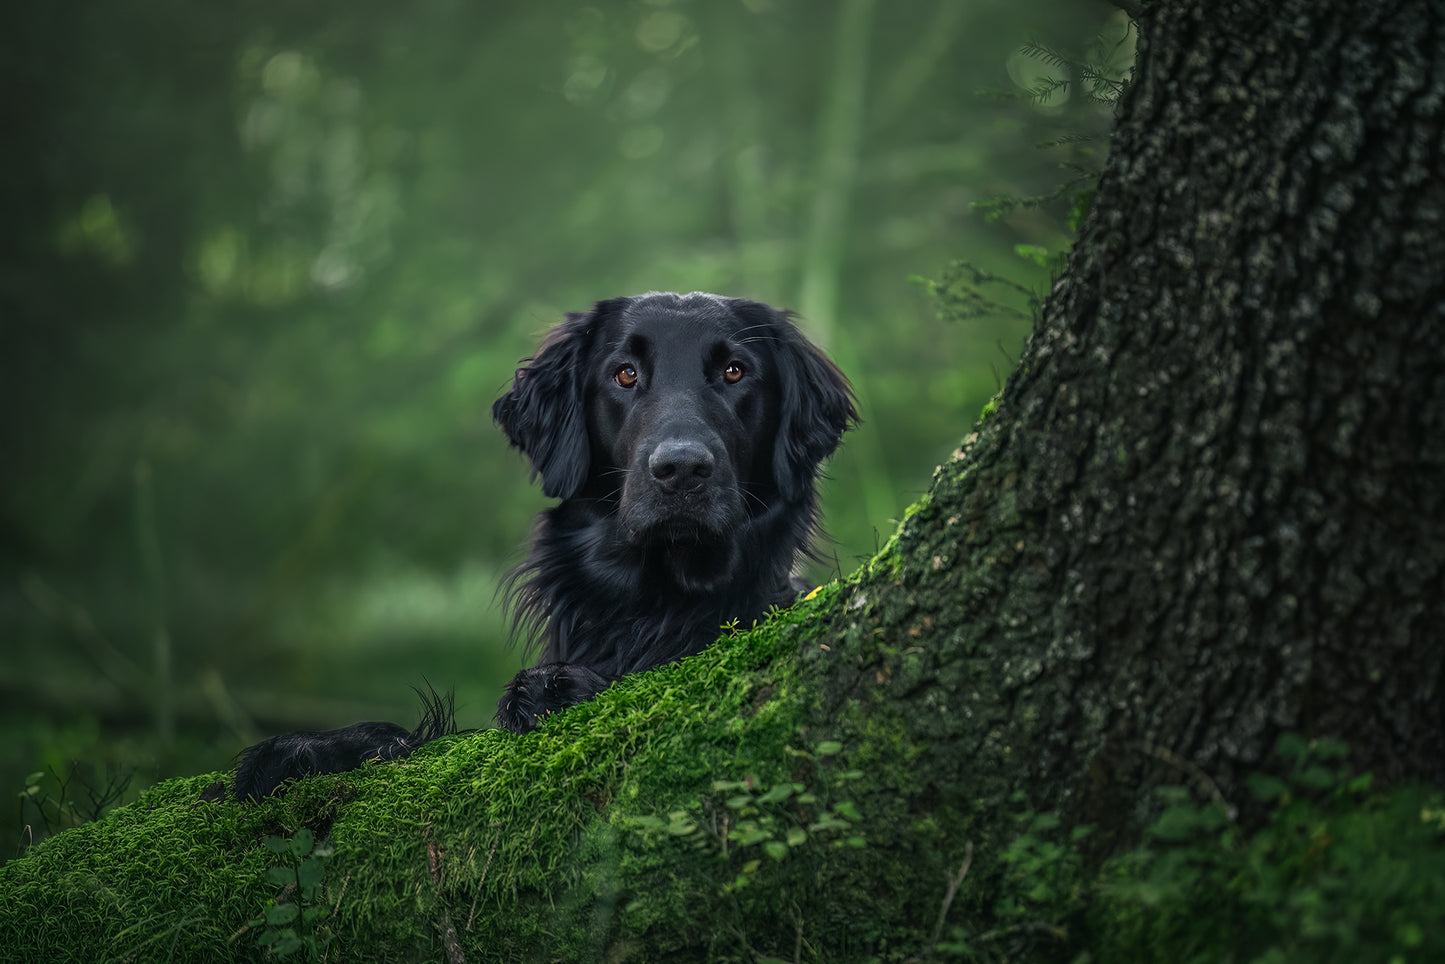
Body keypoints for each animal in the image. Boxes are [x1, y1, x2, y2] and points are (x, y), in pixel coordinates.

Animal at [231, 291, 849, 797]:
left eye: (734, 371)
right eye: (625, 374)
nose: (681, 469)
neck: (656, 604)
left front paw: (555, 690)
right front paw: (302, 750)